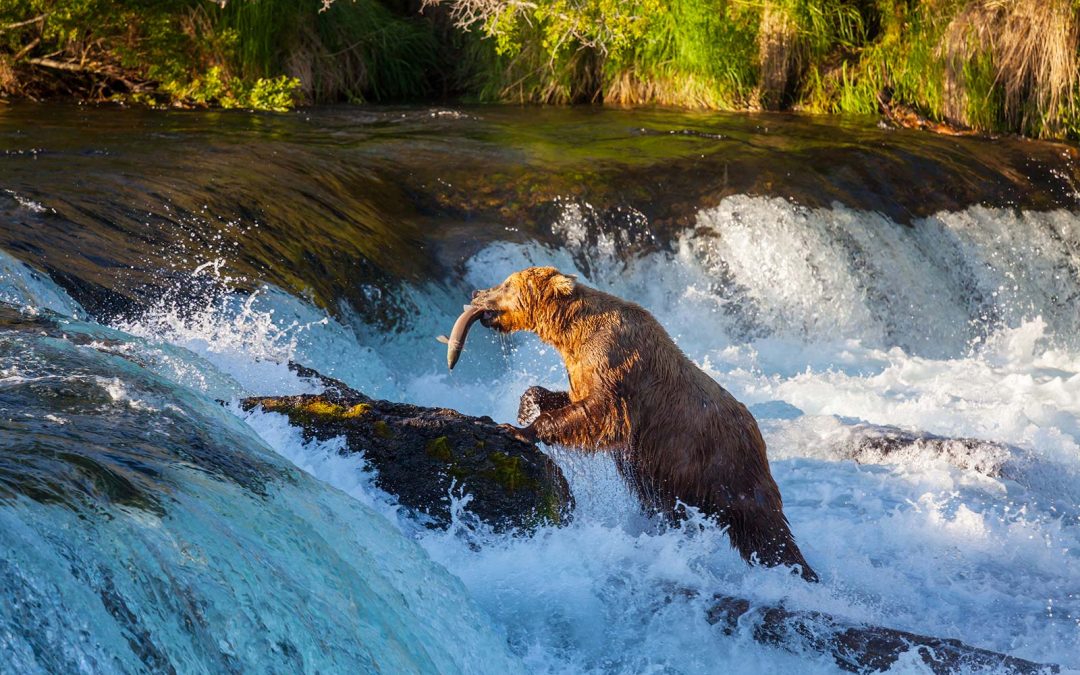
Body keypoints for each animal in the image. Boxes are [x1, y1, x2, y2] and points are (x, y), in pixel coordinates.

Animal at [455, 263, 816, 578]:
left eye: (506, 285)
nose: (475, 292)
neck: (571, 333)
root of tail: (758, 433)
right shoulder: (582, 370)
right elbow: (570, 399)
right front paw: (527, 405)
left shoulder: (616, 366)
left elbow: (600, 414)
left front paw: (519, 429)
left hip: (724, 465)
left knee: (763, 526)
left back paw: (799, 571)